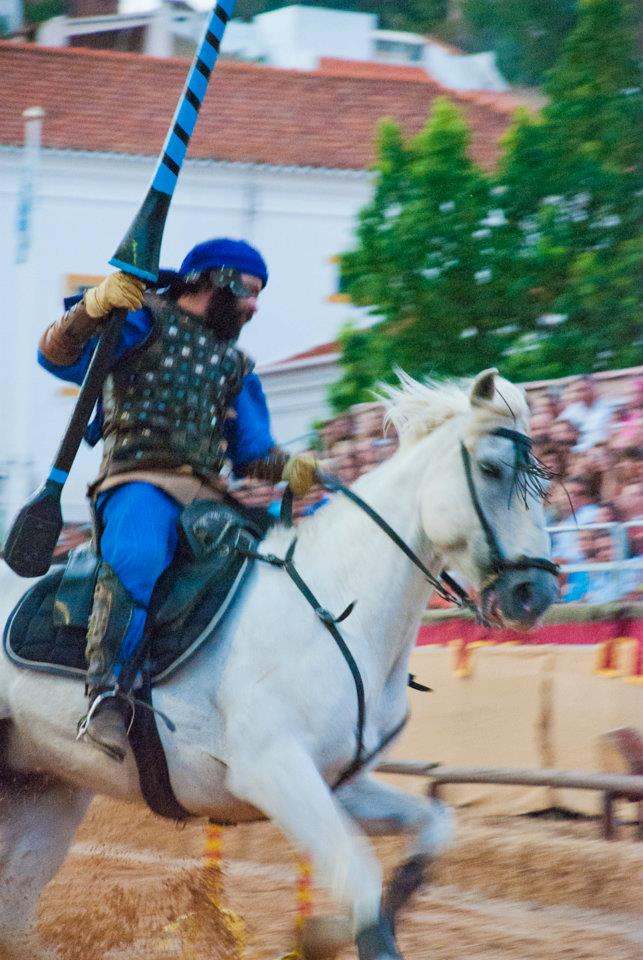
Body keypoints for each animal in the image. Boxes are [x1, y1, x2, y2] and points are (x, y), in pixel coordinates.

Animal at [0, 372, 560, 960]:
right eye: (492, 469)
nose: (535, 592)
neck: (338, 608)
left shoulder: (339, 781)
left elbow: (433, 829)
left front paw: (323, 933)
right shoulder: (273, 772)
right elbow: (360, 879)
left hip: (49, 787)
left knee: (15, 905)